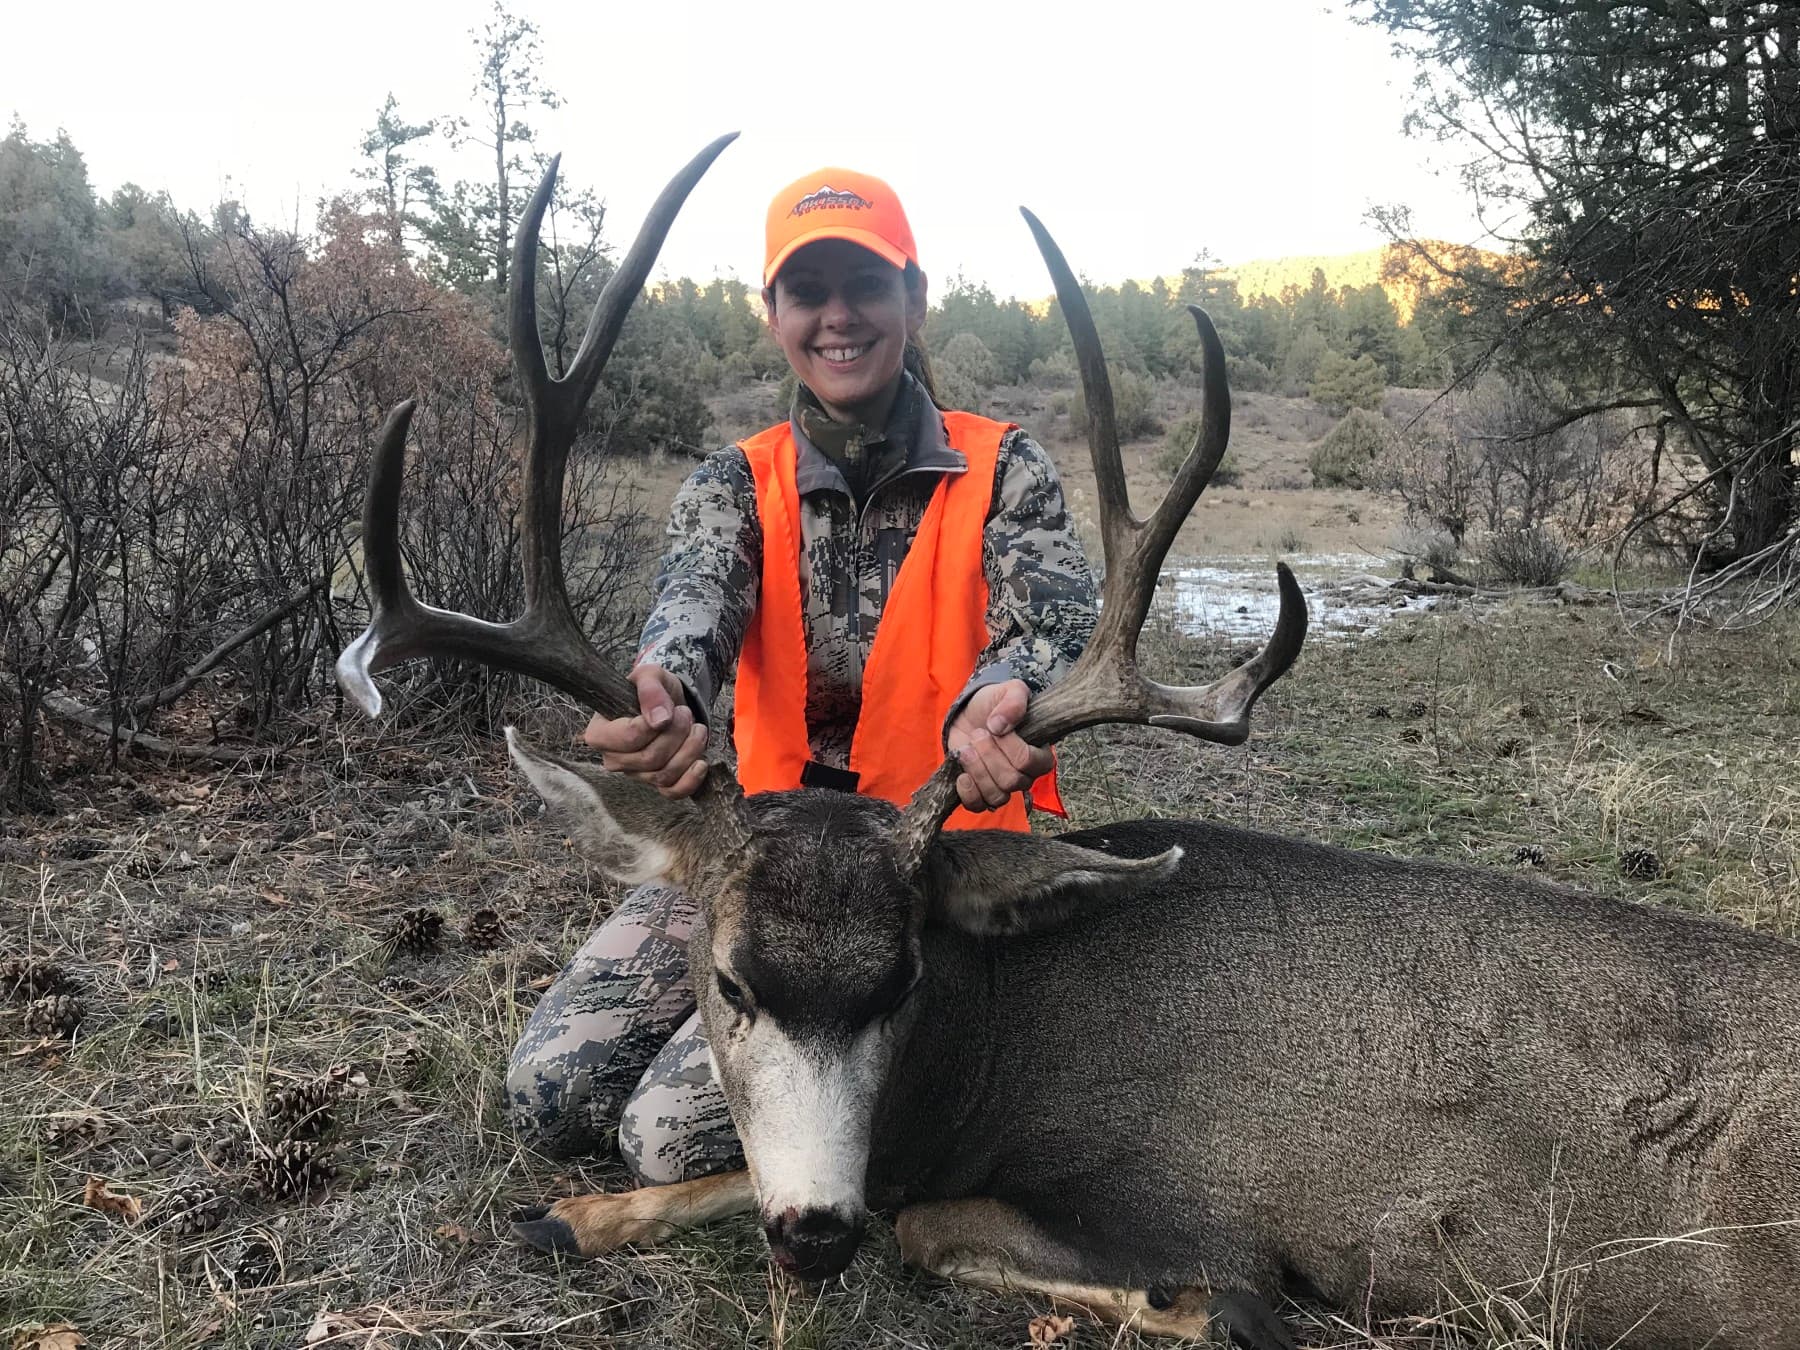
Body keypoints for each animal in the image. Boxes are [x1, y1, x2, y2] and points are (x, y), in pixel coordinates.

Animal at [337, 137, 1800, 1350]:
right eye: (730, 981)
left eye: (903, 980)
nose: (811, 1238)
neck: (1000, 1043)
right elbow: (737, 1175)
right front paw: (571, 1214)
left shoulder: (1204, 1211)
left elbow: (954, 1229)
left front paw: (1180, 1304)